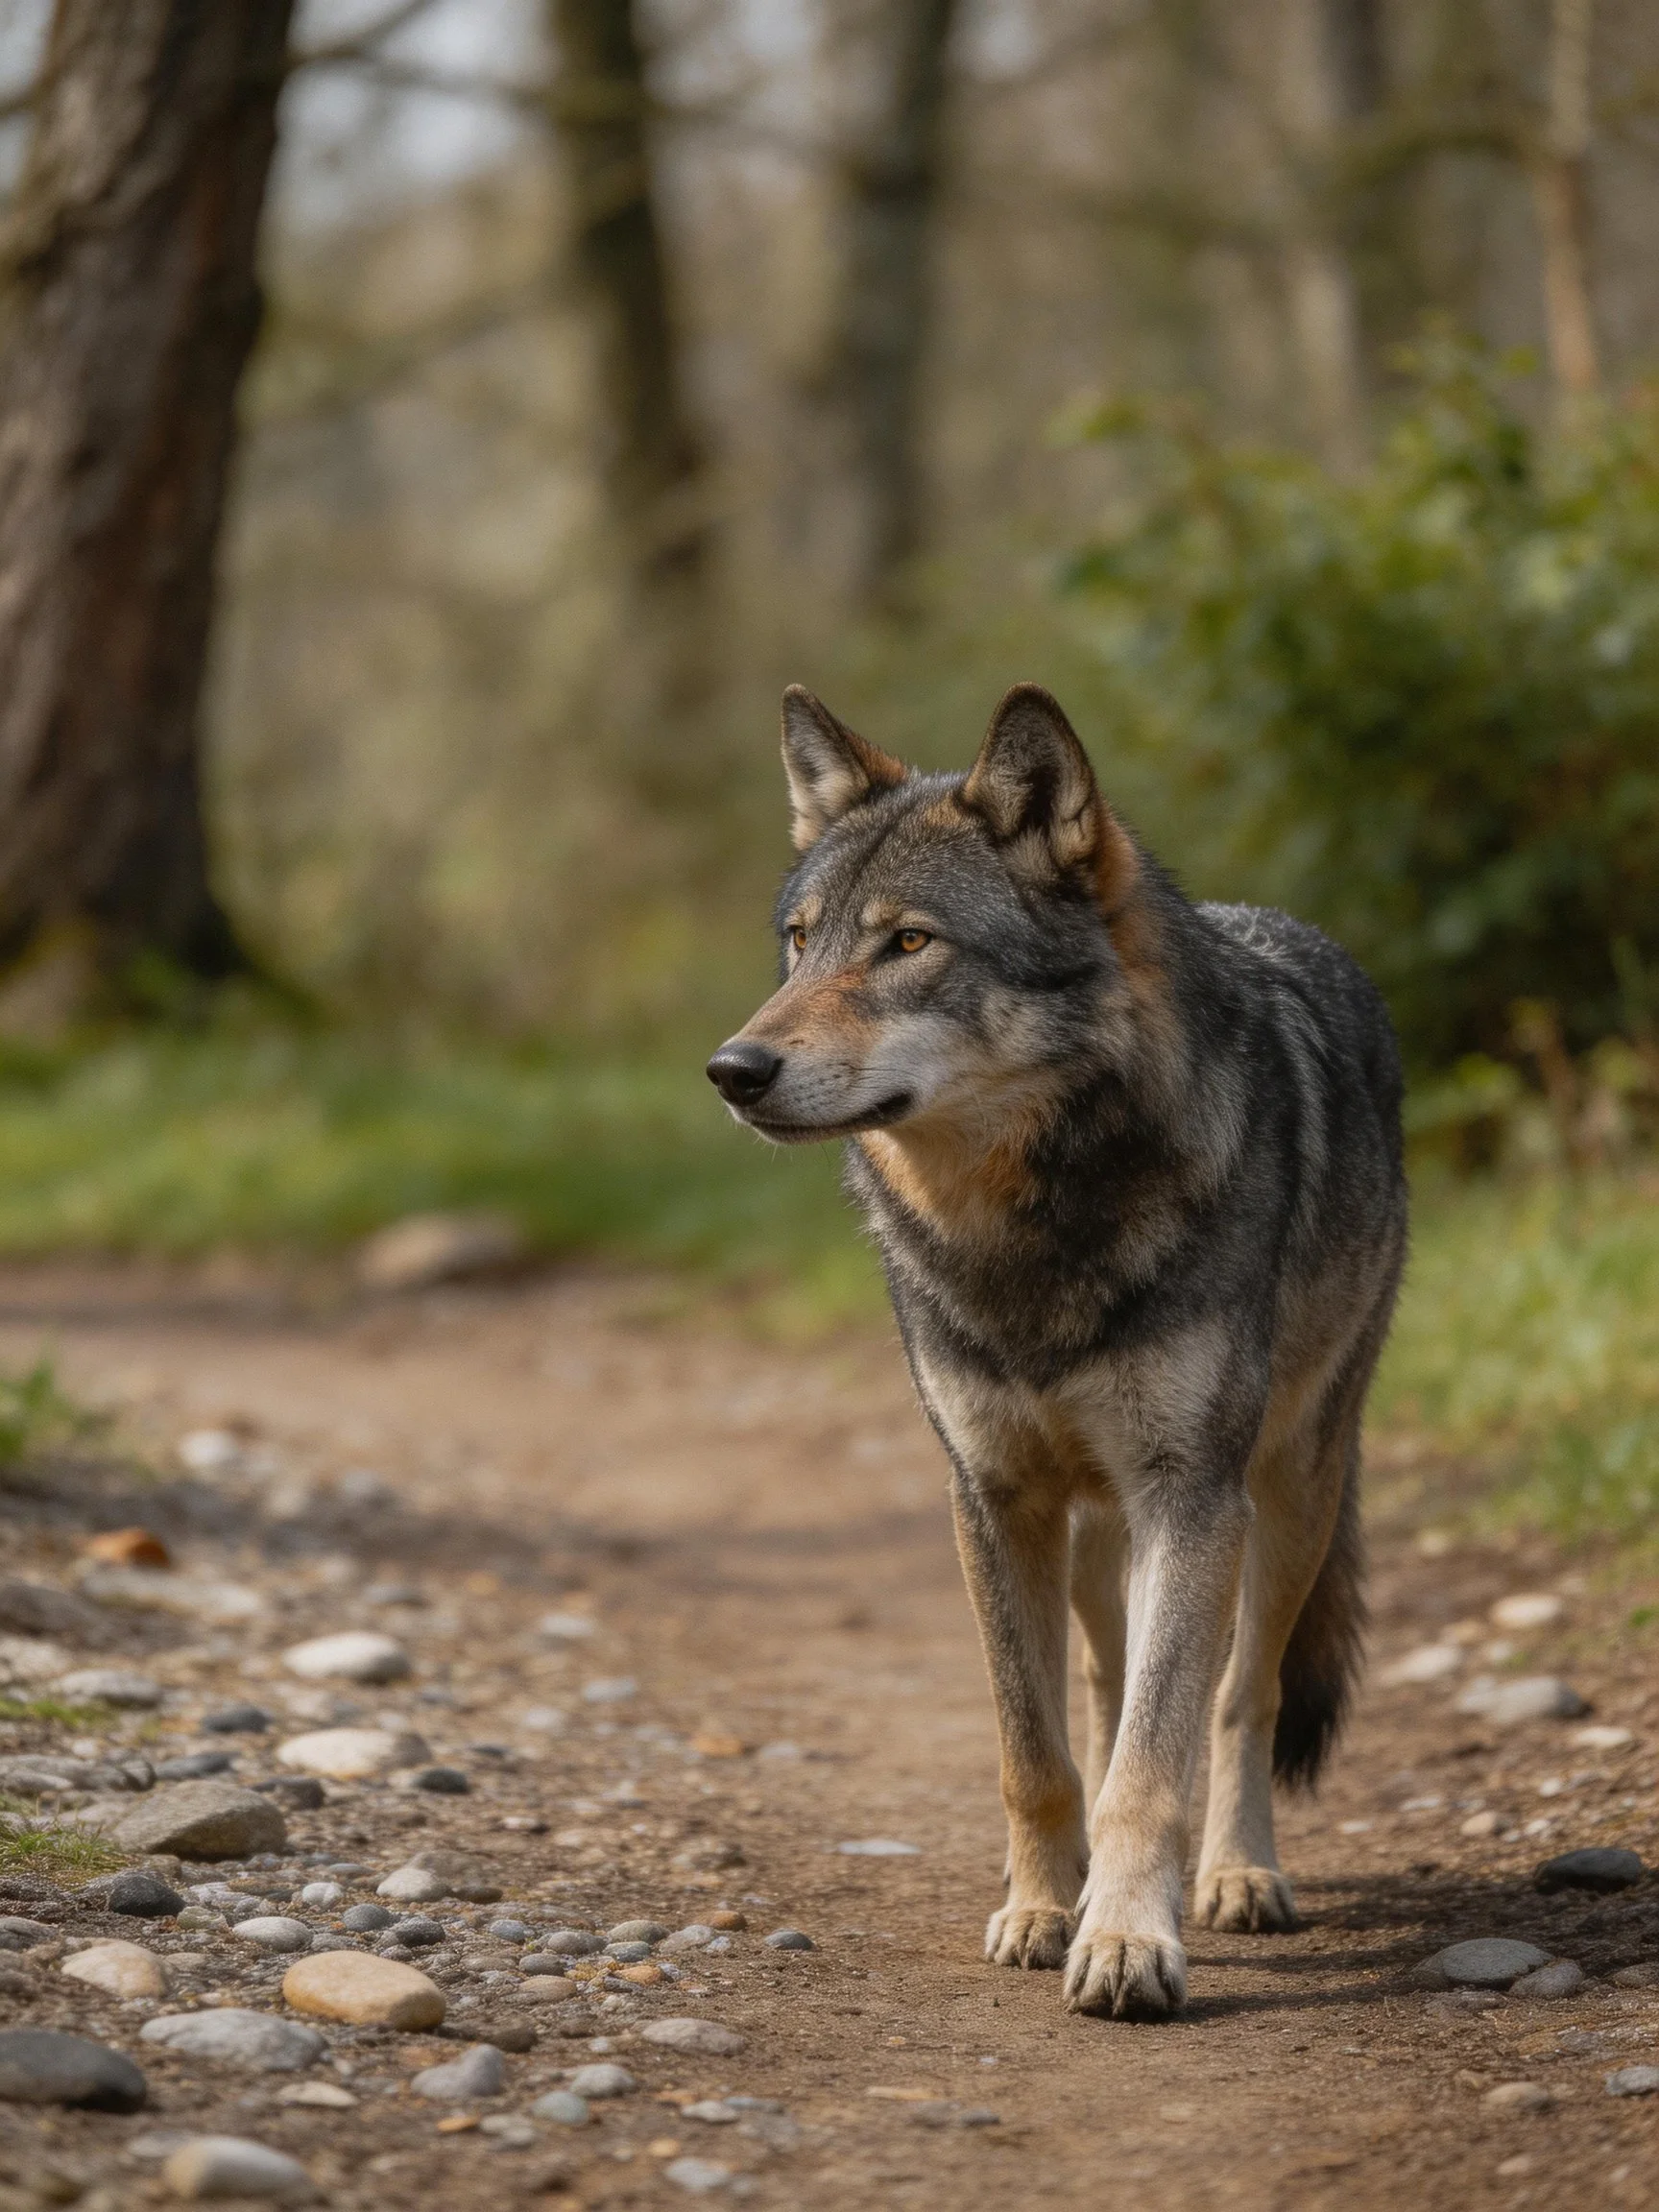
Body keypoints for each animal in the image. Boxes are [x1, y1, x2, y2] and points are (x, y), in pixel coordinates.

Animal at [707, 683, 1406, 2020]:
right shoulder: (991, 1495)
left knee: (1240, 1696)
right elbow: (1033, 1751)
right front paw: (1044, 1909)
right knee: (1100, 1687)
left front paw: (1130, 1941)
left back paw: (1236, 1876)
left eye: (908, 944)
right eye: (800, 943)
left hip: (1289, 1489)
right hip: (1094, 1531)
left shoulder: (1191, 1496)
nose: (732, 1070)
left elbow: (1158, 1758)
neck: (1025, 1235)